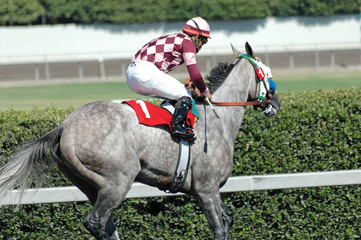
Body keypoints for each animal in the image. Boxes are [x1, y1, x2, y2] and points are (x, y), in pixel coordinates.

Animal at [0, 43, 280, 240]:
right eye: (267, 73)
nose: (276, 103)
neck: (218, 118)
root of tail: (65, 127)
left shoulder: (208, 189)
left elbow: (228, 217)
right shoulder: (206, 188)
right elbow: (219, 228)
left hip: (91, 185)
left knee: (106, 225)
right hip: (119, 179)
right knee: (96, 222)